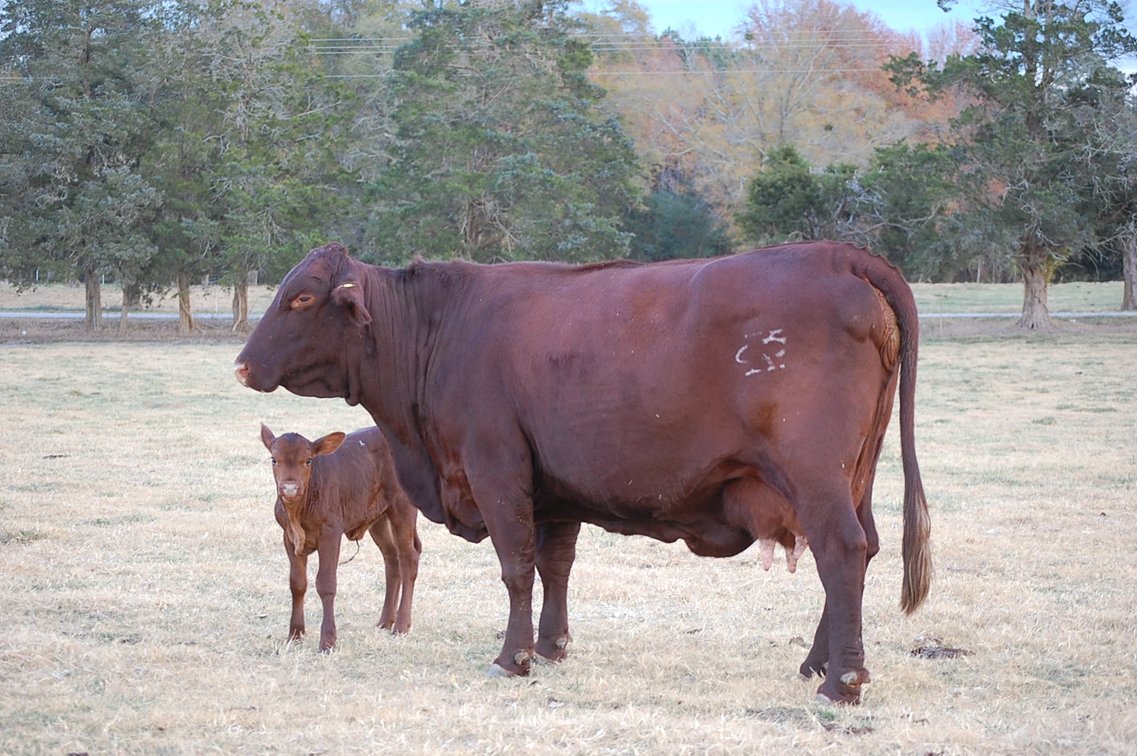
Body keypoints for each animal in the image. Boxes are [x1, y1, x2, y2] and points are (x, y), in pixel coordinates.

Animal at [260, 423, 422, 651]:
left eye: (308, 460)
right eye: (274, 460)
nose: (290, 489)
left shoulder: (331, 533)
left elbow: (326, 584)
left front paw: (328, 641)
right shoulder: (288, 537)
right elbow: (297, 583)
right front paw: (295, 634)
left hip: (402, 507)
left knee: (408, 558)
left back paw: (401, 625)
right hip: (378, 518)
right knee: (392, 558)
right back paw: (385, 621)